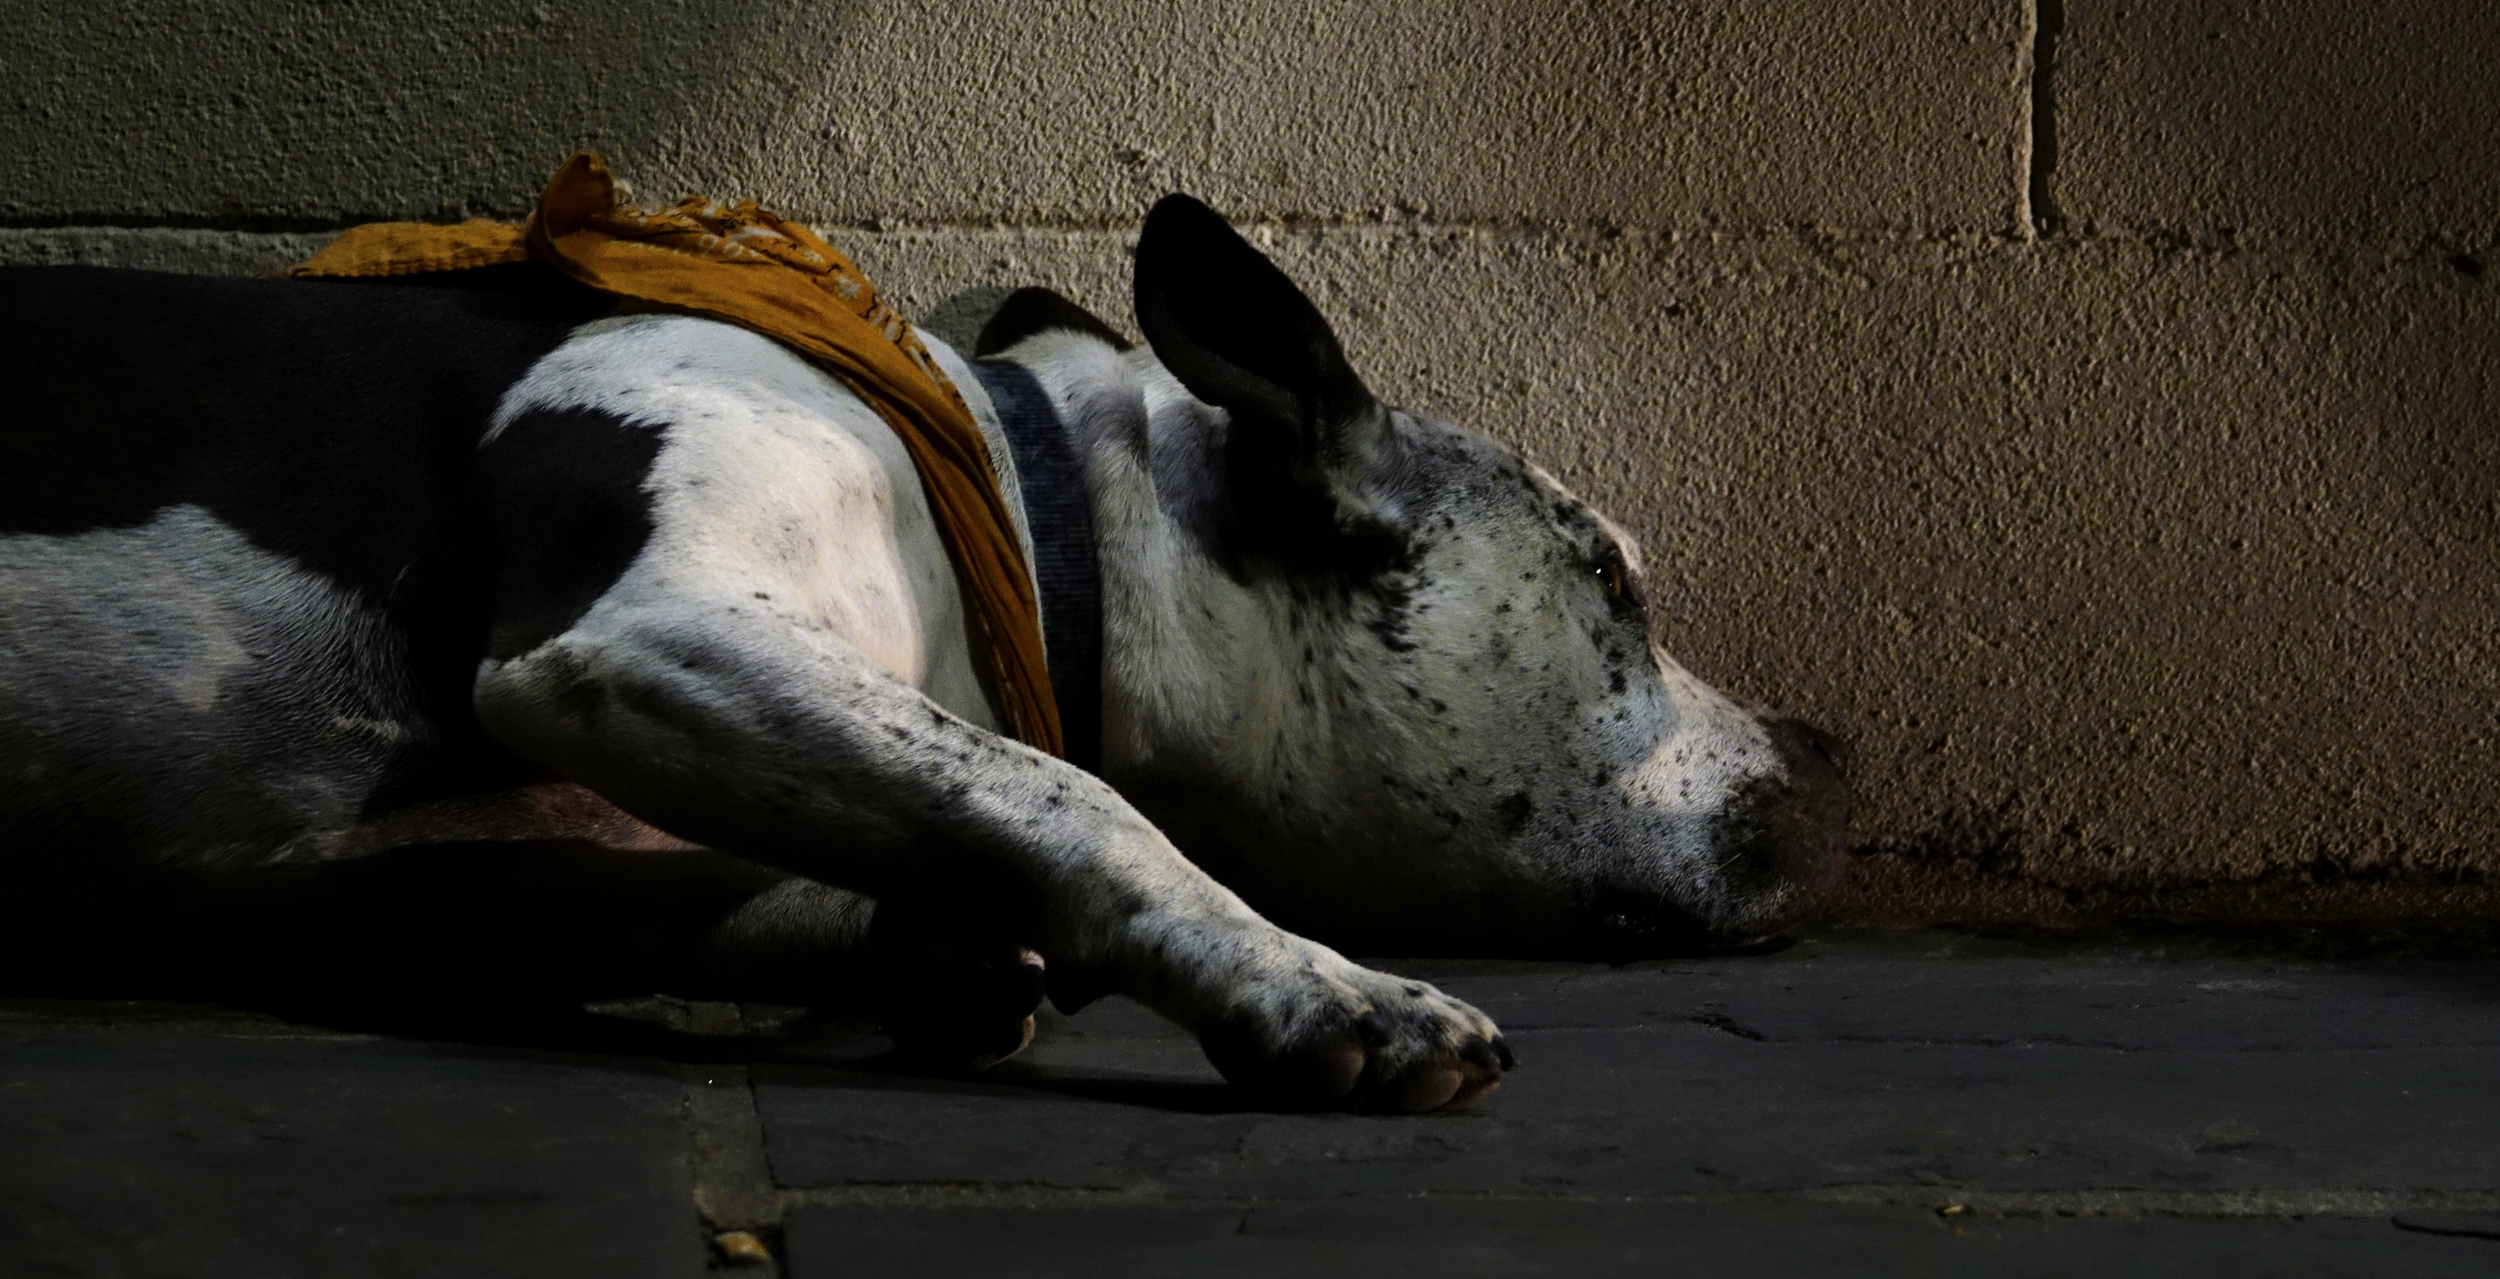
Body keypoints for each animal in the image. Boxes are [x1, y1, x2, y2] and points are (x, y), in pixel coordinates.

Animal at [0, 195, 1850, 1111]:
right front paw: (1319, 985)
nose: (1831, 747)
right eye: (1608, 577)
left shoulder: (463, 870)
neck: (1022, 522)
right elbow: (1066, 796)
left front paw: (951, 946)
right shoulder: (634, 638)